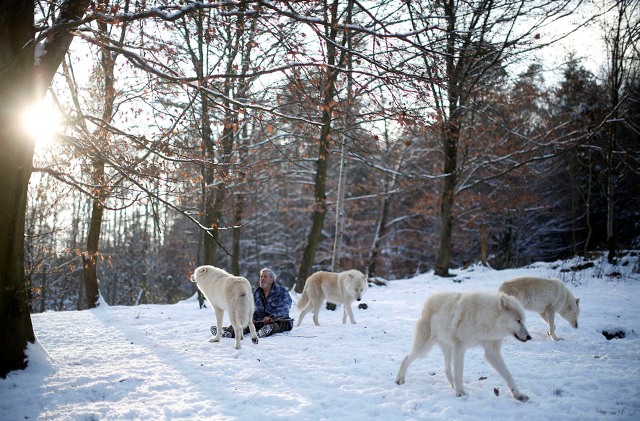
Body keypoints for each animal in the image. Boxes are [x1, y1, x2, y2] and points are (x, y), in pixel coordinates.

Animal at [396, 288, 528, 400]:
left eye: (523, 321)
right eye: (518, 321)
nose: (529, 337)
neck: (485, 318)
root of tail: (428, 301)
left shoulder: (492, 352)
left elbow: (508, 375)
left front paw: (518, 395)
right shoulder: (460, 347)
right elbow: (459, 373)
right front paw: (460, 393)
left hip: (448, 349)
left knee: (447, 370)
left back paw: (452, 386)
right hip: (424, 348)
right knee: (406, 358)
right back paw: (399, 379)